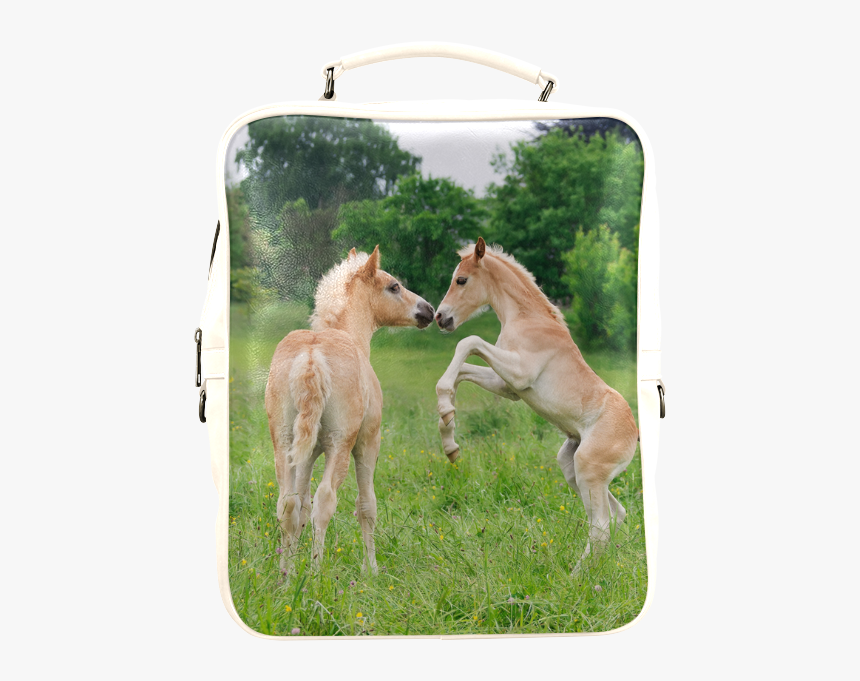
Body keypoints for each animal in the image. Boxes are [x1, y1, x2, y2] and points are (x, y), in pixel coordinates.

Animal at [265, 246, 435, 576]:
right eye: (394, 286)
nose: (429, 310)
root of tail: (311, 357)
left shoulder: (307, 453)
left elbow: (300, 506)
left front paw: (294, 562)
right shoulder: (368, 442)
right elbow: (366, 505)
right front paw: (372, 570)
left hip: (284, 442)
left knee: (287, 503)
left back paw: (285, 577)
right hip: (340, 444)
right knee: (325, 500)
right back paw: (316, 574)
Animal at [433, 237, 639, 572]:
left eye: (461, 280)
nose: (440, 317)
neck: (527, 318)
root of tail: (634, 432)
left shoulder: (519, 374)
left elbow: (468, 342)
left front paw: (447, 419)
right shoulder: (508, 386)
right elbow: (462, 371)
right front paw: (448, 432)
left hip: (589, 470)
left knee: (600, 526)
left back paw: (575, 577)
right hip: (572, 466)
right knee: (616, 515)